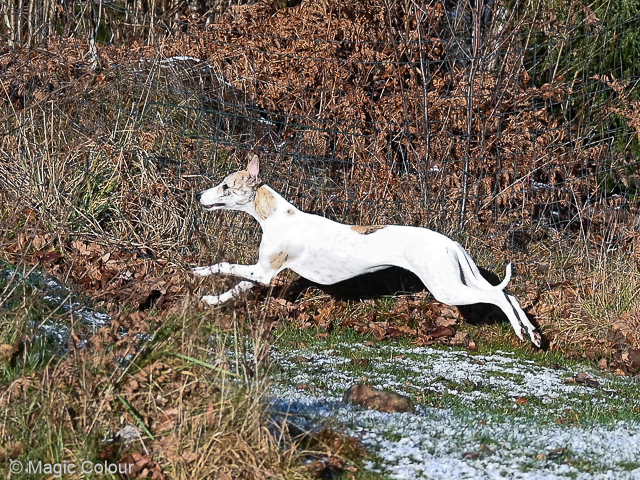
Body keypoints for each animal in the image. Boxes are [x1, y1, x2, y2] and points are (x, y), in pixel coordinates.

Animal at [194, 156, 540, 346]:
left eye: (226, 186)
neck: (278, 216)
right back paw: (534, 334)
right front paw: (210, 300)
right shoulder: (260, 272)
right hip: (457, 280)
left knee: (498, 296)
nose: (199, 196)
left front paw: (198, 271)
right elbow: (235, 287)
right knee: (509, 294)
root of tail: (450, 242)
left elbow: (224, 265)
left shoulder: (264, 272)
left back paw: (522, 333)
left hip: (447, 288)